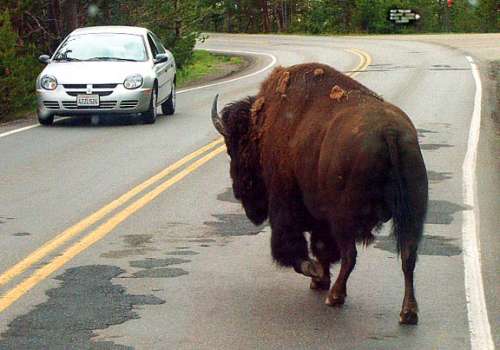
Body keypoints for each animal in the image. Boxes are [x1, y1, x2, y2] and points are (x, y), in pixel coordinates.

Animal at [212, 63, 430, 326]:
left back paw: (335, 296)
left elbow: (295, 247)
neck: (263, 127)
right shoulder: (321, 218)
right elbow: (322, 248)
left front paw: (315, 273)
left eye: (233, 149)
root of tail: (389, 132)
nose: (238, 191)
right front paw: (319, 279)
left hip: (345, 219)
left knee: (350, 255)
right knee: (408, 256)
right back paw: (408, 312)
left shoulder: (286, 206)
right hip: (411, 214)